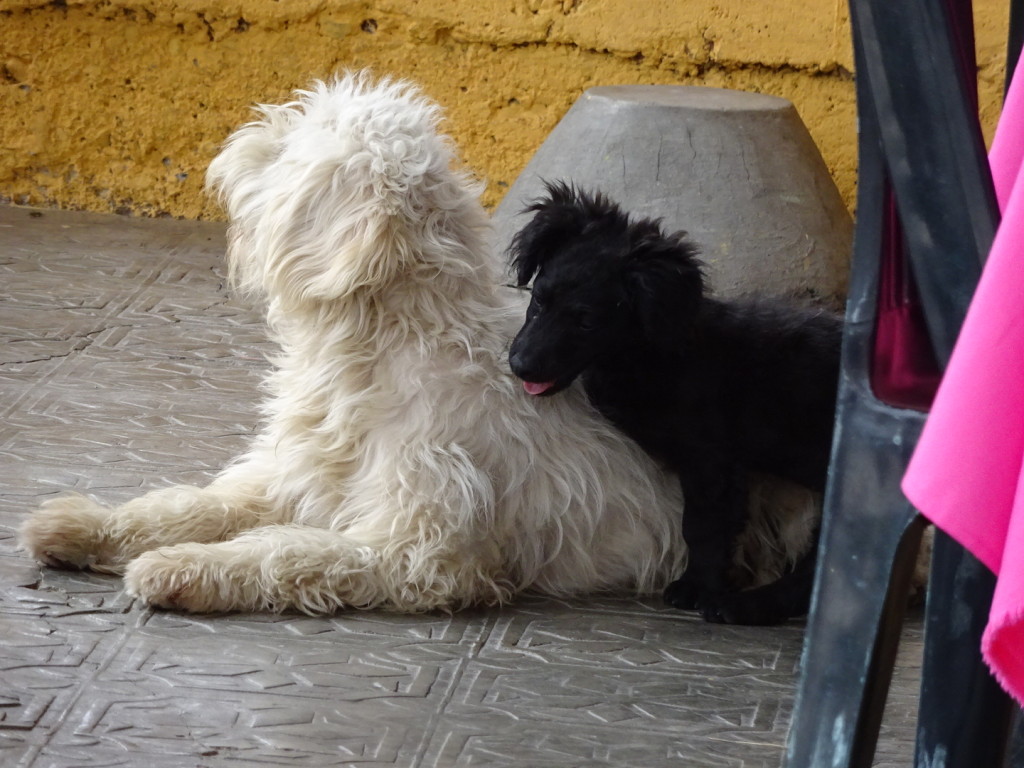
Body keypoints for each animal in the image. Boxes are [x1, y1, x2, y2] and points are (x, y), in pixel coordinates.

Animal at [19, 75, 696, 618]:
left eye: (298, 146)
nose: (251, 128)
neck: (383, 349)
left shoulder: (419, 549)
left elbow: (284, 552)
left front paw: (184, 567)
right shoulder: (299, 474)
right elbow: (197, 504)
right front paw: (92, 526)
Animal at [509, 183, 839, 626]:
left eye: (587, 321)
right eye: (539, 299)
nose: (520, 365)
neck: (653, 354)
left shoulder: (711, 459)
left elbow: (702, 526)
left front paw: (697, 586)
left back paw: (744, 605)